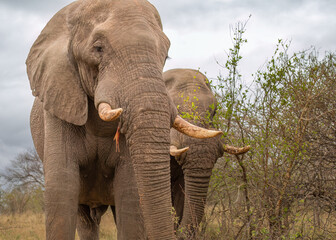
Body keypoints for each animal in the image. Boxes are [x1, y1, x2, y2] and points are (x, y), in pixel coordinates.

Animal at [25, 0, 220, 239]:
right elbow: (62, 189)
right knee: (85, 220)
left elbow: (129, 194)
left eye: (165, 56)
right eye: (98, 48)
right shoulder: (59, 102)